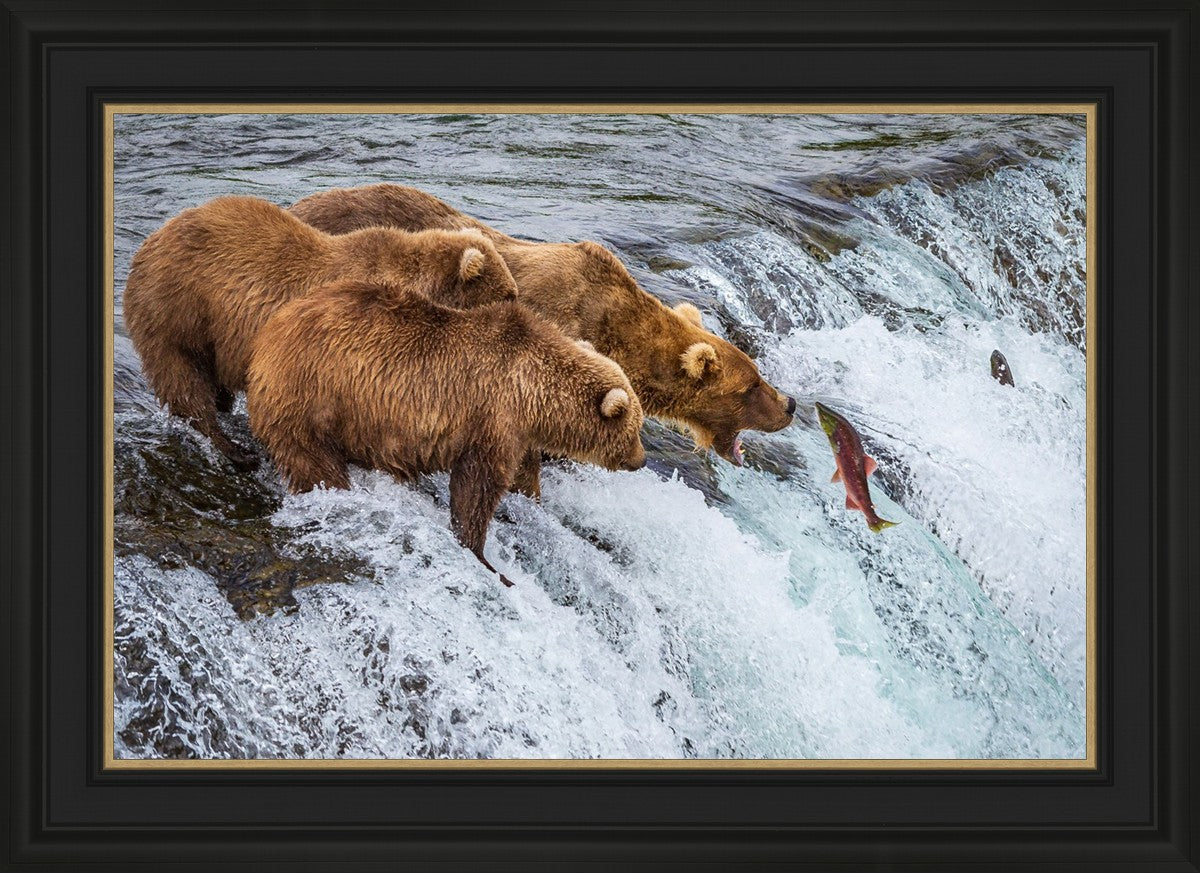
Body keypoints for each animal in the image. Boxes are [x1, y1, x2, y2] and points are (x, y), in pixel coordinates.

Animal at [123, 195, 520, 470]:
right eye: (508, 294)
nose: (520, 309)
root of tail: (148, 242)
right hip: (178, 310)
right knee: (183, 381)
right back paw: (234, 450)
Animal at [245, 279, 646, 587]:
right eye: (635, 429)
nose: (641, 460)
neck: (533, 392)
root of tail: (267, 336)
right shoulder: (492, 417)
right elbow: (477, 487)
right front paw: (485, 557)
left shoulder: (518, 433)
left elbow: (521, 476)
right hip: (313, 397)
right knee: (314, 462)